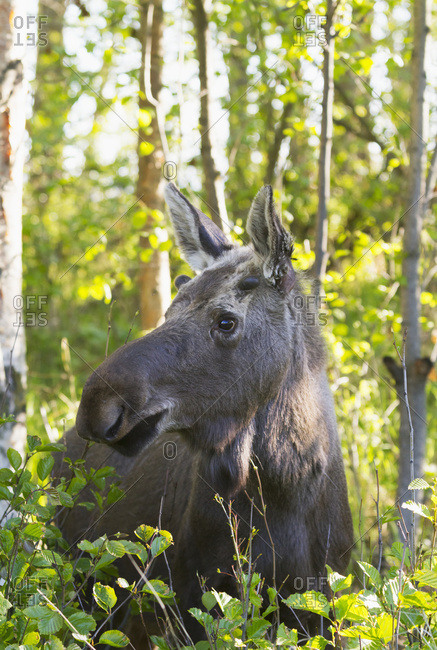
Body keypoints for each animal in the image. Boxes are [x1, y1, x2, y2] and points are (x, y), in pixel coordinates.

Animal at [55, 183, 353, 645]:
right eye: (169, 309)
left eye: (226, 321)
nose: (96, 406)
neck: (283, 493)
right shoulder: (189, 608)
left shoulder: (318, 610)